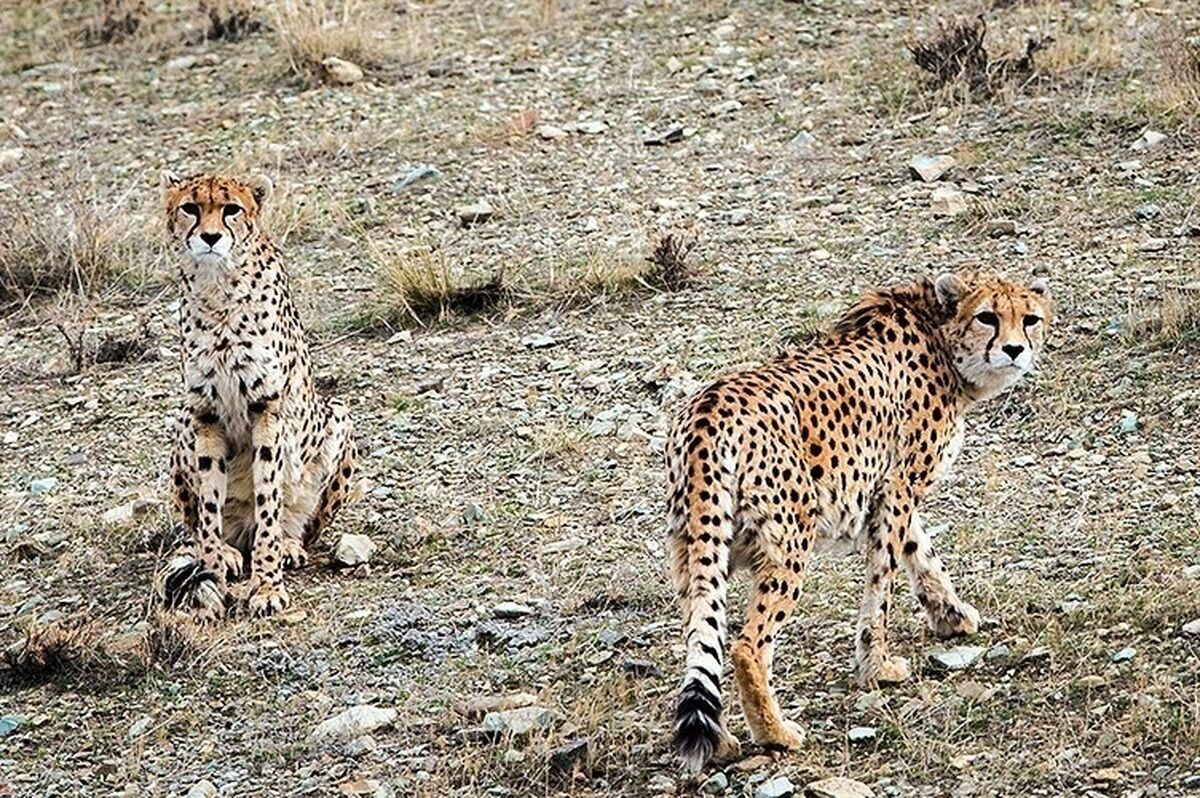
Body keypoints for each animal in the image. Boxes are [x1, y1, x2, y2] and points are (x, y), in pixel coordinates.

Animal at [153, 171, 355, 619]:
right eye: (190, 208)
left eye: (232, 209)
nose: (210, 237)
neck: (217, 291)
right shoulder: (204, 413)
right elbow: (209, 505)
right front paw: (213, 575)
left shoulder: (268, 409)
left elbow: (268, 499)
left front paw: (265, 587)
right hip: (182, 424)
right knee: (201, 526)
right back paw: (227, 552)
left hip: (338, 416)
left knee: (295, 523)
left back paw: (288, 545)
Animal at [672, 271, 1056, 768]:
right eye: (987, 317)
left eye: (1030, 319)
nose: (1014, 350)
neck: (940, 334)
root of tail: (709, 408)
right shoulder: (897, 487)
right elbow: (883, 582)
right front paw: (877, 667)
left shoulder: (888, 489)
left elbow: (921, 551)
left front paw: (952, 614)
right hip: (788, 541)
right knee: (746, 644)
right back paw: (776, 733)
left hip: (696, 550)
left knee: (702, 635)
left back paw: (719, 740)